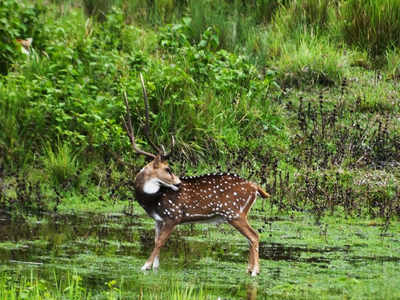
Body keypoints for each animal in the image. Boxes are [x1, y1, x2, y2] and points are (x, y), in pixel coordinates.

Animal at [124, 74, 268, 276]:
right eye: (168, 169)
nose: (178, 183)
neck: (153, 200)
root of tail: (255, 187)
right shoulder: (158, 220)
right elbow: (156, 241)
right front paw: (155, 267)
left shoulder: (174, 216)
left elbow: (160, 242)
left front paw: (145, 266)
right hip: (237, 214)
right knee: (250, 237)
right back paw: (249, 269)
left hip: (234, 212)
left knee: (254, 235)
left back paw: (255, 271)